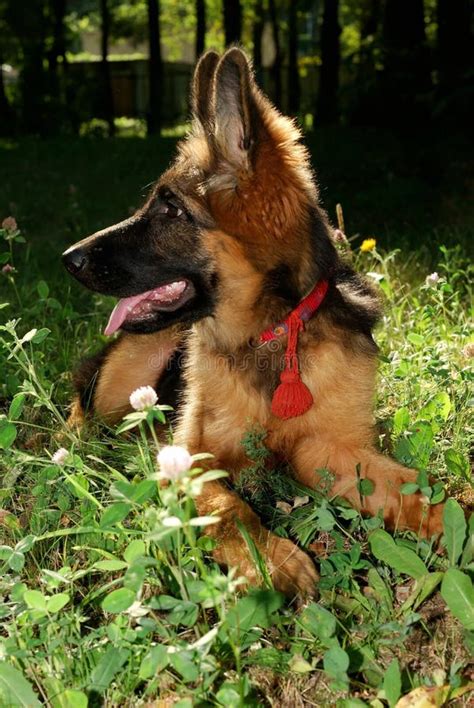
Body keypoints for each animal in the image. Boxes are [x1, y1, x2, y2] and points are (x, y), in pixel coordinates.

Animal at [63, 47, 444, 596]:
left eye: (171, 209)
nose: (67, 259)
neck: (269, 335)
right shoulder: (191, 457)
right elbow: (228, 508)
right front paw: (266, 558)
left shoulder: (331, 449)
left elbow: (419, 494)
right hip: (127, 375)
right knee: (82, 399)